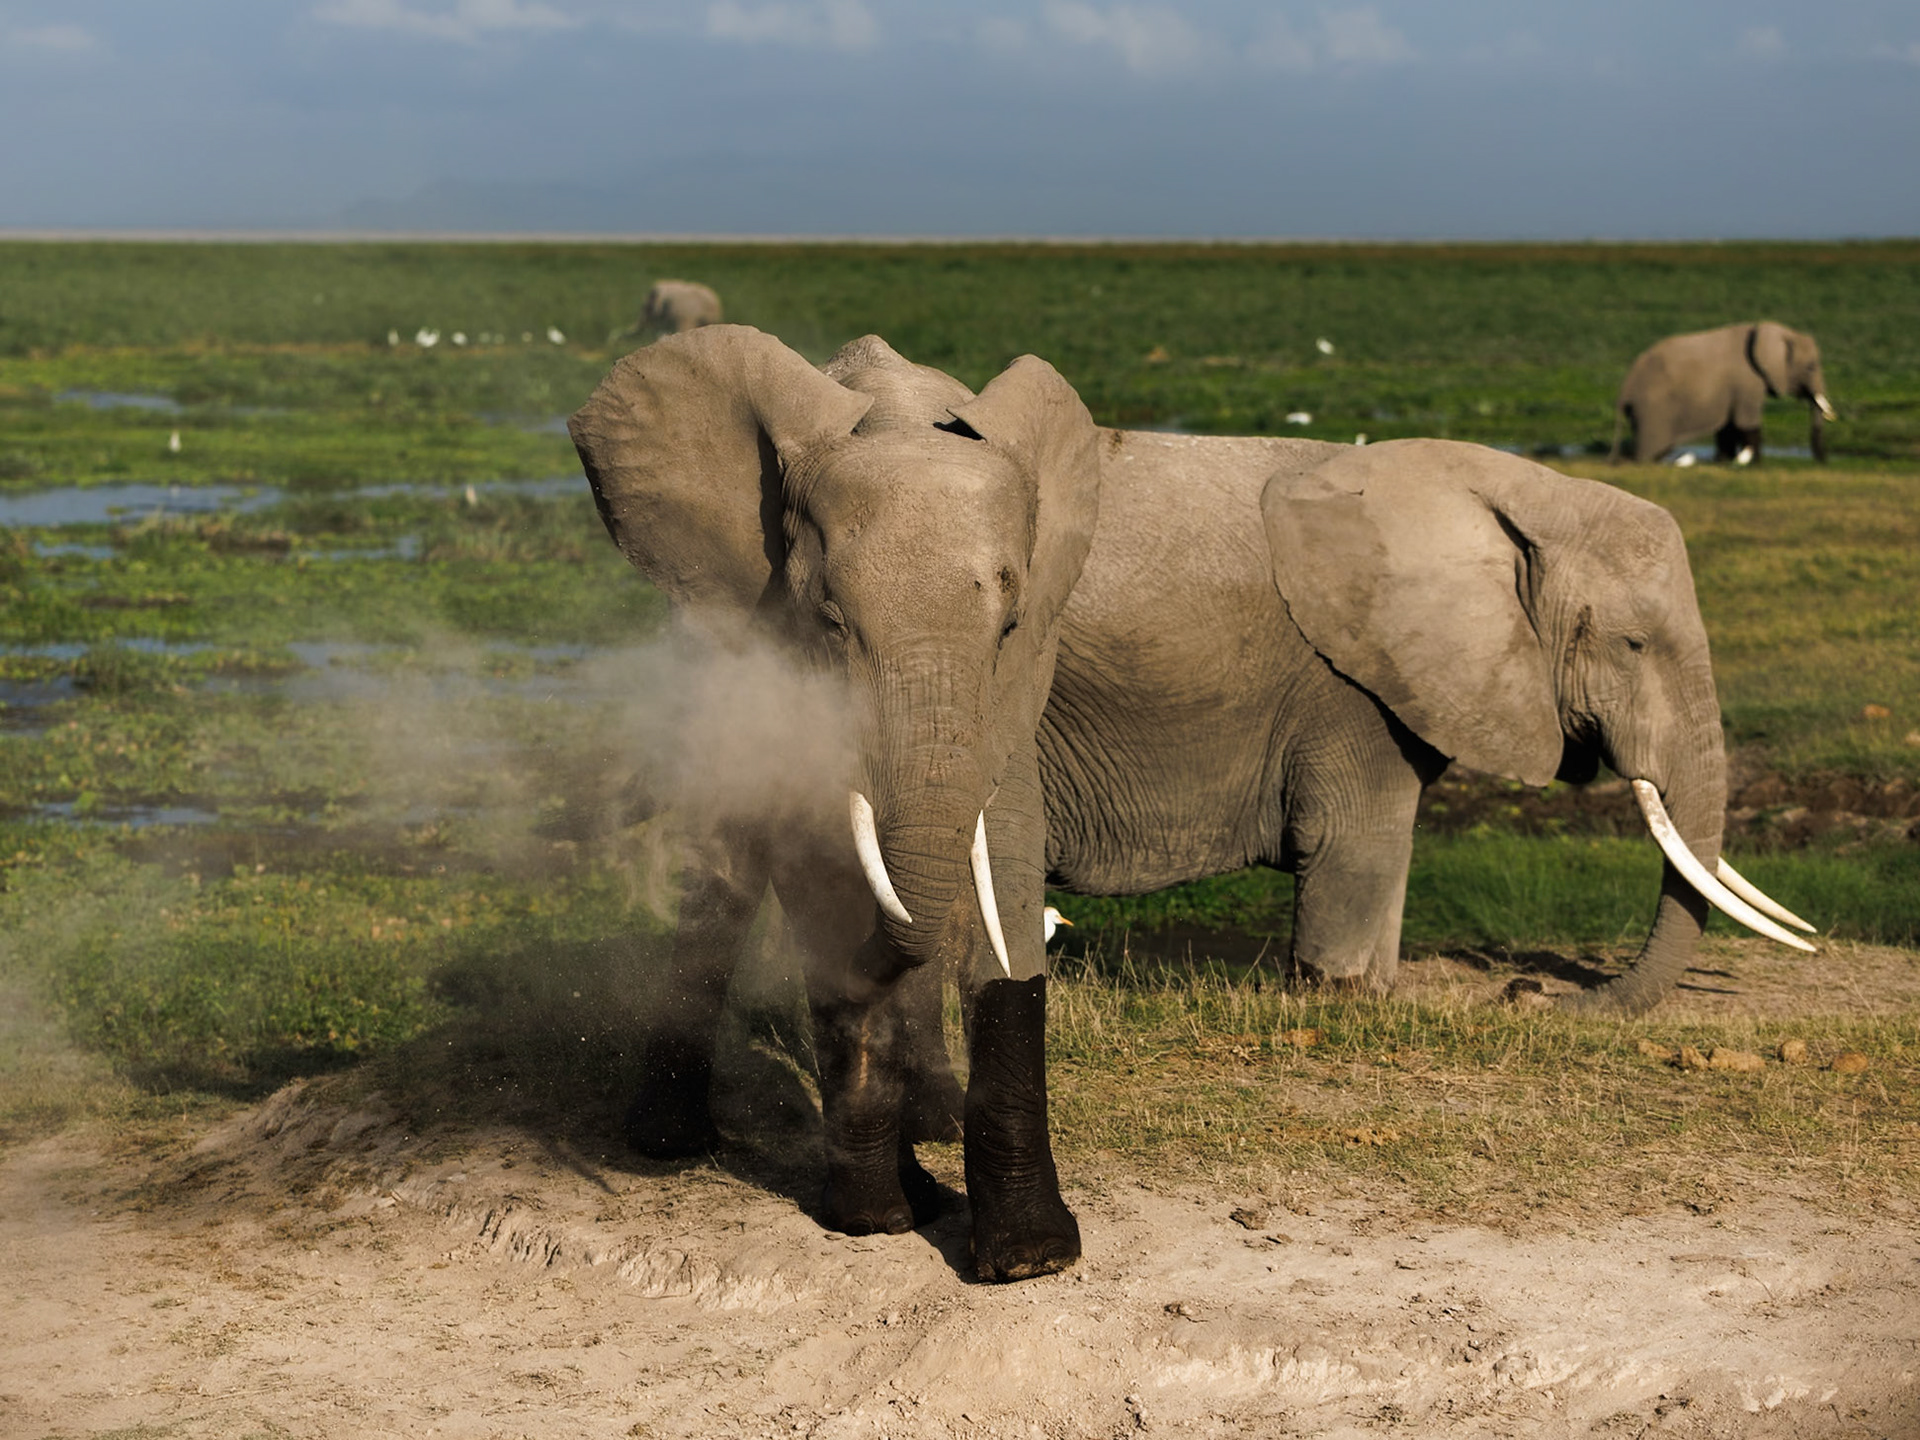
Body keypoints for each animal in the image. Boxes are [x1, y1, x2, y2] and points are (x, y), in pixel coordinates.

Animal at [573, 330, 1816, 1281]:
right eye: (1635, 645)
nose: (1532, 996)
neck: (1507, 489)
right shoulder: (1350, 691)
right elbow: (1353, 850)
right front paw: (1349, 997)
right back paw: (675, 1146)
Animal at [1612, 321, 1835, 465]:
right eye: (1811, 367)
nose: (1823, 462)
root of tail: (1626, 386)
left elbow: (1728, 425)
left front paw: (1724, 461)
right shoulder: (1748, 381)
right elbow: (1746, 422)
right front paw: (1756, 464)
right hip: (1654, 408)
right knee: (1654, 449)